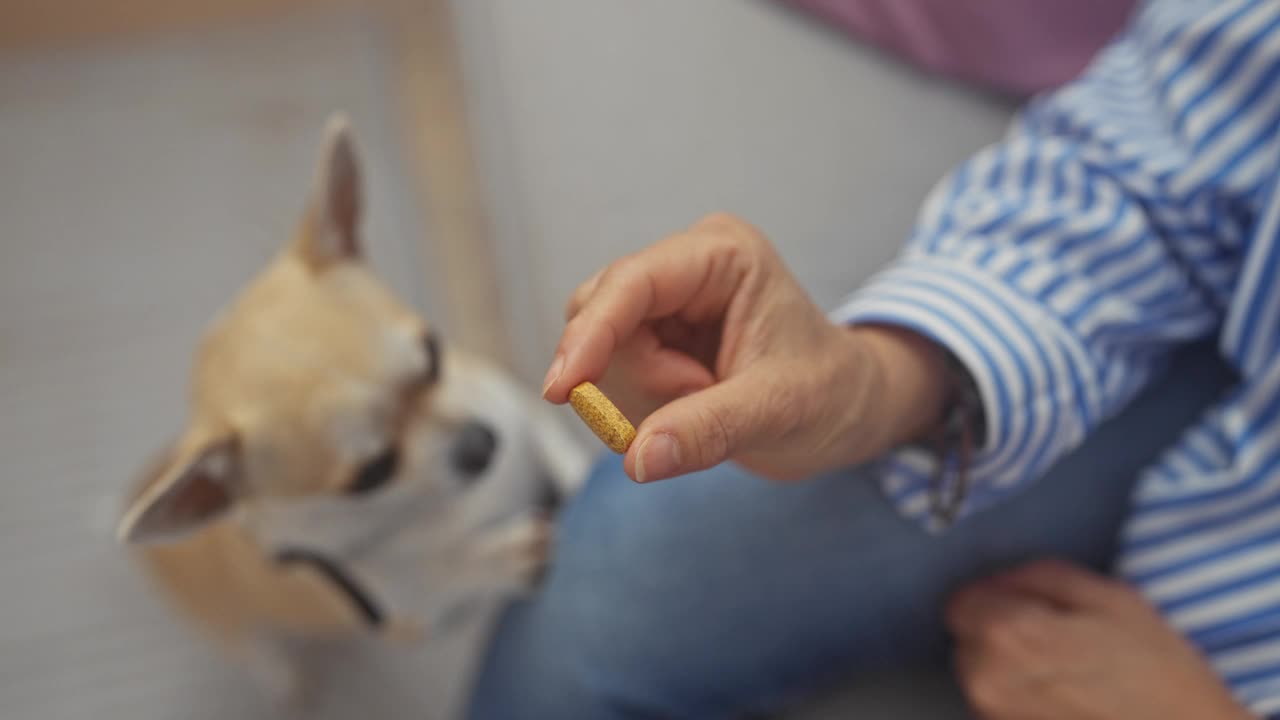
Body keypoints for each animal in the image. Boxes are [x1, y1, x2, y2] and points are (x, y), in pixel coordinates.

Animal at [115, 114, 586, 702]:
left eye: (434, 353)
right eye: (372, 472)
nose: (482, 444)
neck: (428, 504)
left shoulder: (510, 404)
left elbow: (555, 444)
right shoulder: (408, 616)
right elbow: (446, 572)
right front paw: (495, 556)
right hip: (237, 634)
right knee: (258, 651)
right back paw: (284, 678)